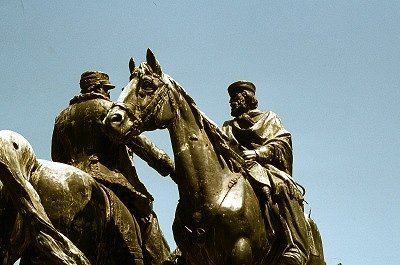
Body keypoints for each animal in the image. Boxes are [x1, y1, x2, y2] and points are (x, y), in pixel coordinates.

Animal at [103, 48, 324, 262]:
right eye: (123, 88)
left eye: (147, 85)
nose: (112, 120)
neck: (210, 193)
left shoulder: (240, 251)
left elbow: (279, 141)